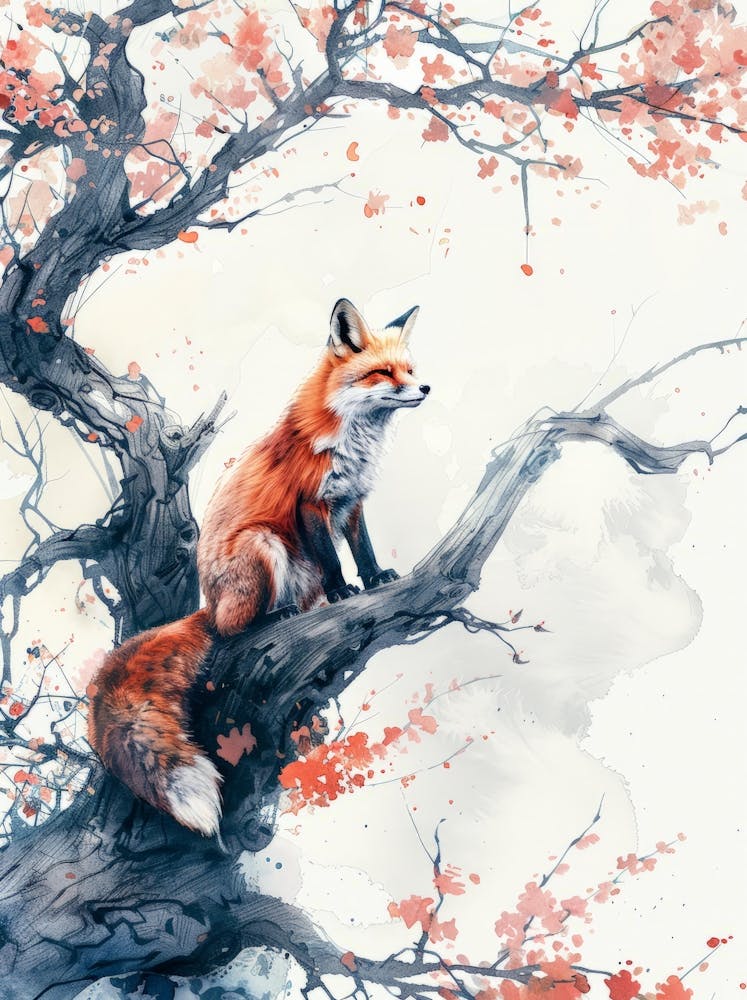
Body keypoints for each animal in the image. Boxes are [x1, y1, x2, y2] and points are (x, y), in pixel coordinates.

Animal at [88, 298, 429, 837]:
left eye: (409, 370)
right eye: (382, 373)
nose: (425, 388)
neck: (351, 440)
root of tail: (207, 605)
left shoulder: (352, 502)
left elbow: (363, 550)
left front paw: (375, 580)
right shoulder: (311, 504)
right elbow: (334, 561)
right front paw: (346, 593)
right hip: (263, 543)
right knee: (233, 631)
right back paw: (272, 617)